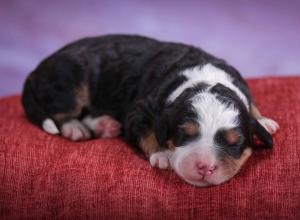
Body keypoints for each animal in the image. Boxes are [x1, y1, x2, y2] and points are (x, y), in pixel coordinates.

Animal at [22, 34, 280, 186]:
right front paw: (162, 154)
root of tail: (38, 68)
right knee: (62, 110)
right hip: (72, 81)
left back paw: (106, 125)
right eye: (185, 134)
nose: (205, 167)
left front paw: (263, 120)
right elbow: (147, 131)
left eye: (234, 143)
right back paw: (75, 128)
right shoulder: (139, 110)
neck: (203, 78)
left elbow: (251, 104)